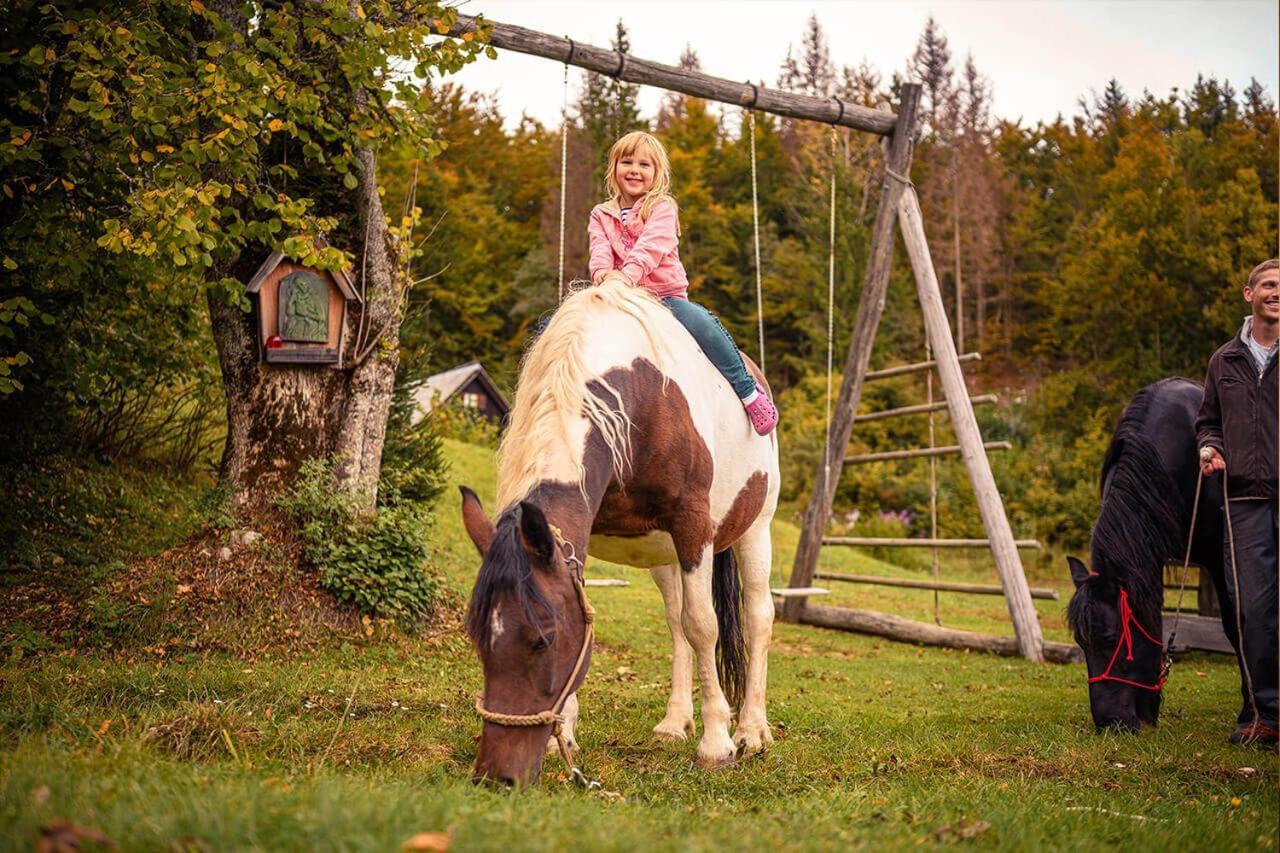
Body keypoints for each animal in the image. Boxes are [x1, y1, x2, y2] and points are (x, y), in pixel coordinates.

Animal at [460, 274, 778, 783]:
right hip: (663, 554)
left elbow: (704, 625)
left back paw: (751, 730)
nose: (496, 776)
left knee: (756, 617)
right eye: (478, 637)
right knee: (675, 622)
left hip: (755, 530)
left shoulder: (693, 526)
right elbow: (653, 621)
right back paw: (674, 722)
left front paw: (717, 743)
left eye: (543, 638)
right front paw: (566, 736)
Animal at [1070, 379, 1239, 732]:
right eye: (1080, 642)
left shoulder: (1221, 558)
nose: (1110, 723)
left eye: (1110, 639)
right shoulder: (1149, 556)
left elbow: (1235, 624)